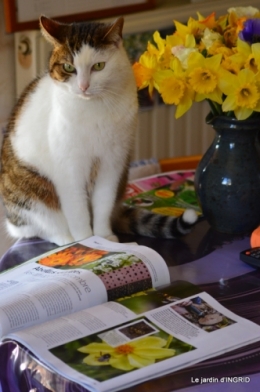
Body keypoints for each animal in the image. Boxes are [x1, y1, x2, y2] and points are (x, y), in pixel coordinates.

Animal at [0, 16, 197, 247]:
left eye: (99, 66)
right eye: (68, 67)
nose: (83, 86)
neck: (94, 110)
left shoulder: (112, 163)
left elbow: (103, 203)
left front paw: (103, 237)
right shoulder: (70, 170)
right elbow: (77, 212)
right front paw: (88, 241)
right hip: (31, 191)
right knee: (39, 227)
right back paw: (66, 239)